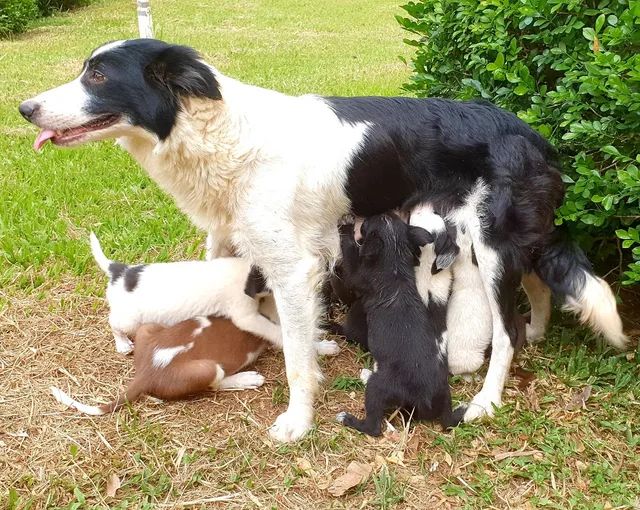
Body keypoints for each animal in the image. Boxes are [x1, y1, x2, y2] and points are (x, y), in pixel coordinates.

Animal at [90, 232, 282, 354]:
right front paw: (281, 339)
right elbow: (269, 328)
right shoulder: (246, 316)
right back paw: (122, 344)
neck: (246, 270)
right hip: (129, 319)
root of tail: (119, 271)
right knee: (113, 324)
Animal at [336, 213, 464, 436]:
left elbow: (350, 254)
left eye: (368, 223)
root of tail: (425, 396)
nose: (364, 218)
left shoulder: (357, 276)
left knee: (373, 427)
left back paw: (350, 419)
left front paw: (346, 227)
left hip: (377, 388)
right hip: (444, 393)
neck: (393, 254)